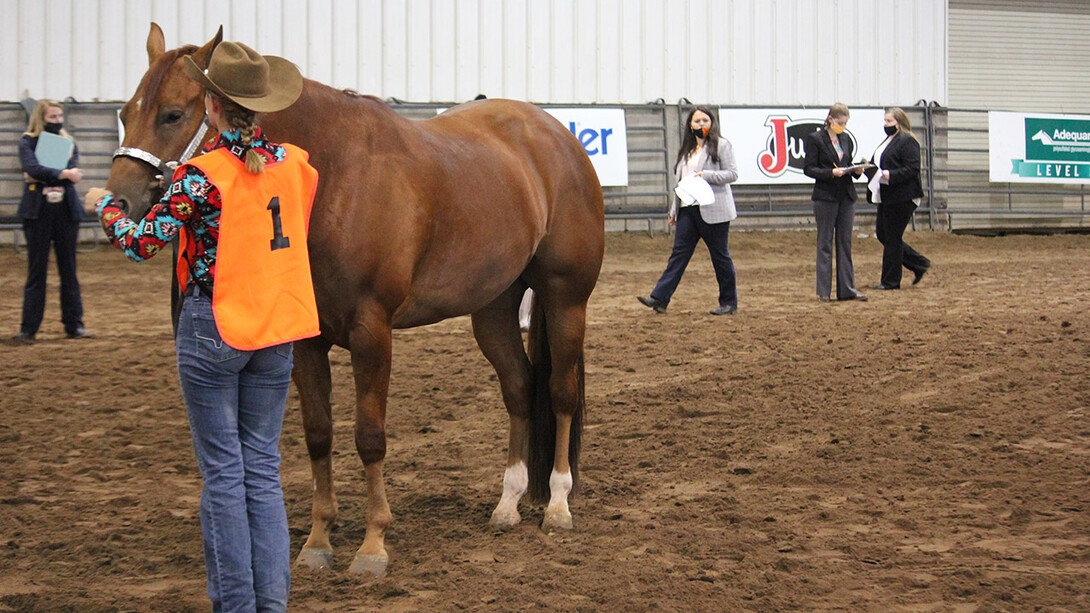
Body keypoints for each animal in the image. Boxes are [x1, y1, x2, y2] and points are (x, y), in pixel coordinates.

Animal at [106, 23, 606, 575]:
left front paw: (372, 546)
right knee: (519, 389)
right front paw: (318, 541)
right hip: (494, 309)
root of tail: (556, 135)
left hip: (565, 299)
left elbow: (369, 437)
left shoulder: (372, 333)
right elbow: (319, 433)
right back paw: (508, 502)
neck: (336, 177)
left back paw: (557, 504)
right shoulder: (307, 341)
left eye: (173, 114)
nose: (119, 202)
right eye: (125, 113)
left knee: (559, 393)